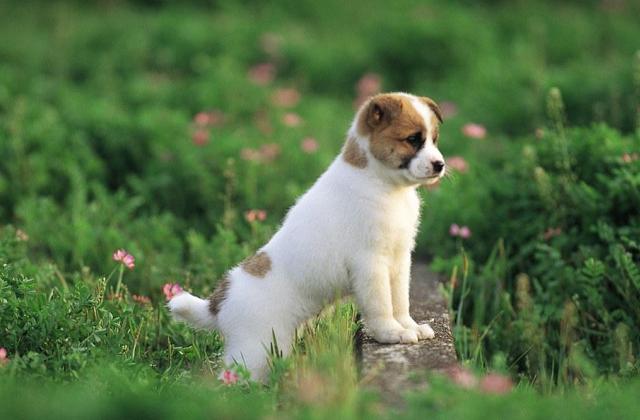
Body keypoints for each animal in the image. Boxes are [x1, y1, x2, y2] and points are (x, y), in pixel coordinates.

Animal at [170, 93, 444, 382]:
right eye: (412, 139)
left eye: (434, 139)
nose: (440, 165)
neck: (381, 183)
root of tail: (218, 304)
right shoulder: (370, 265)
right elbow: (382, 305)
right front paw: (391, 333)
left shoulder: (399, 259)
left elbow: (400, 300)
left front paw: (409, 326)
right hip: (254, 352)